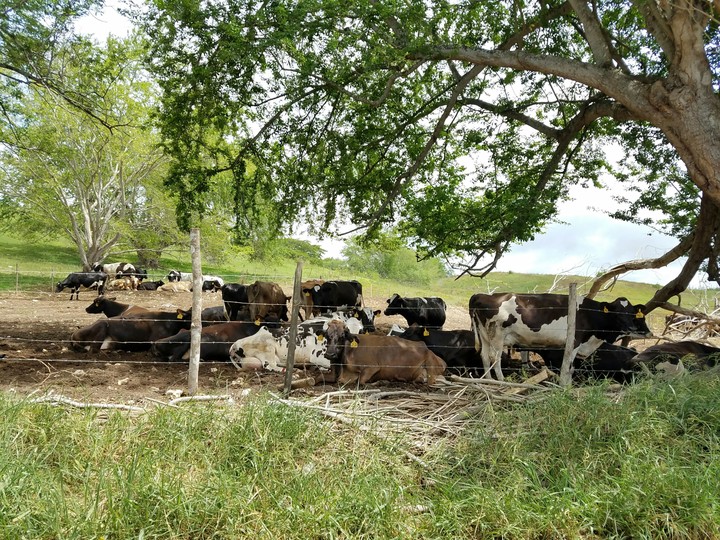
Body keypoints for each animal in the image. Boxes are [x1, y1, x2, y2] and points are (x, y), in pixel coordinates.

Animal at [469, 293, 652, 380]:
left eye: (632, 313)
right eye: (617, 312)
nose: (630, 327)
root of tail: (482, 295)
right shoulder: (574, 341)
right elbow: (569, 368)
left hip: (485, 335)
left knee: (484, 356)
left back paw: (488, 379)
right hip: (498, 335)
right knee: (495, 358)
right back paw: (501, 380)